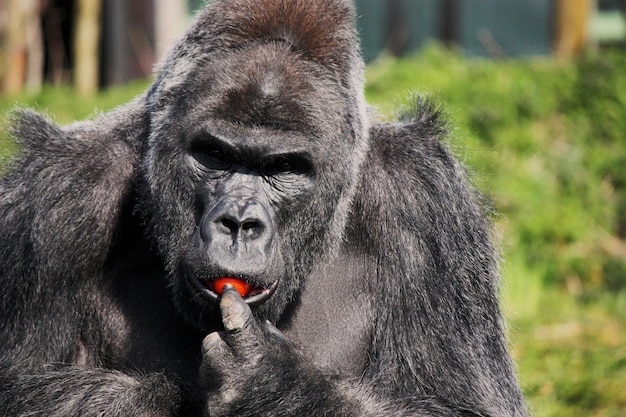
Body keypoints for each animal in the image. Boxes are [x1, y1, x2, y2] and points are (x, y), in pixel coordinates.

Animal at [0, 0, 528, 414]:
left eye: (284, 167)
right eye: (215, 155)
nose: (239, 223)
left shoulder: (427, 201)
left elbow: (463, 405)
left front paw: (272, 384)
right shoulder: (54, 195)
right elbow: (16, 385)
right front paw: (172, 399)